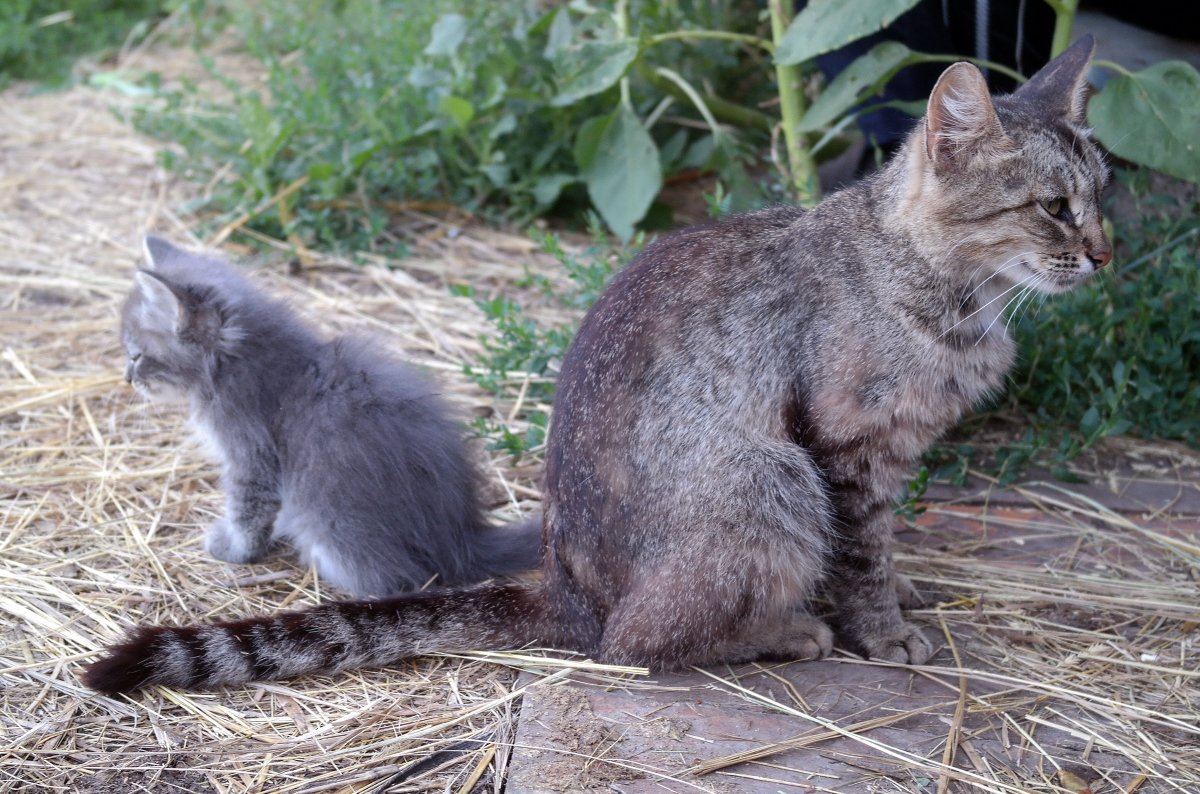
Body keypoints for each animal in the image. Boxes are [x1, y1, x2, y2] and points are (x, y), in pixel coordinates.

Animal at [88, 37, 1108, 695]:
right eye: (1053, 207)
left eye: (1104, 192)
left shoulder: (887, 458)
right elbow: (859, 556)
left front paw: (898, 593)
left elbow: (883, 547)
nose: (1105, 251)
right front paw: (881, 629)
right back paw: (785, 629)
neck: (952, 294)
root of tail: (565, 590)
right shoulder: (845, 449)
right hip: (767, 479)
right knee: (638, 642)